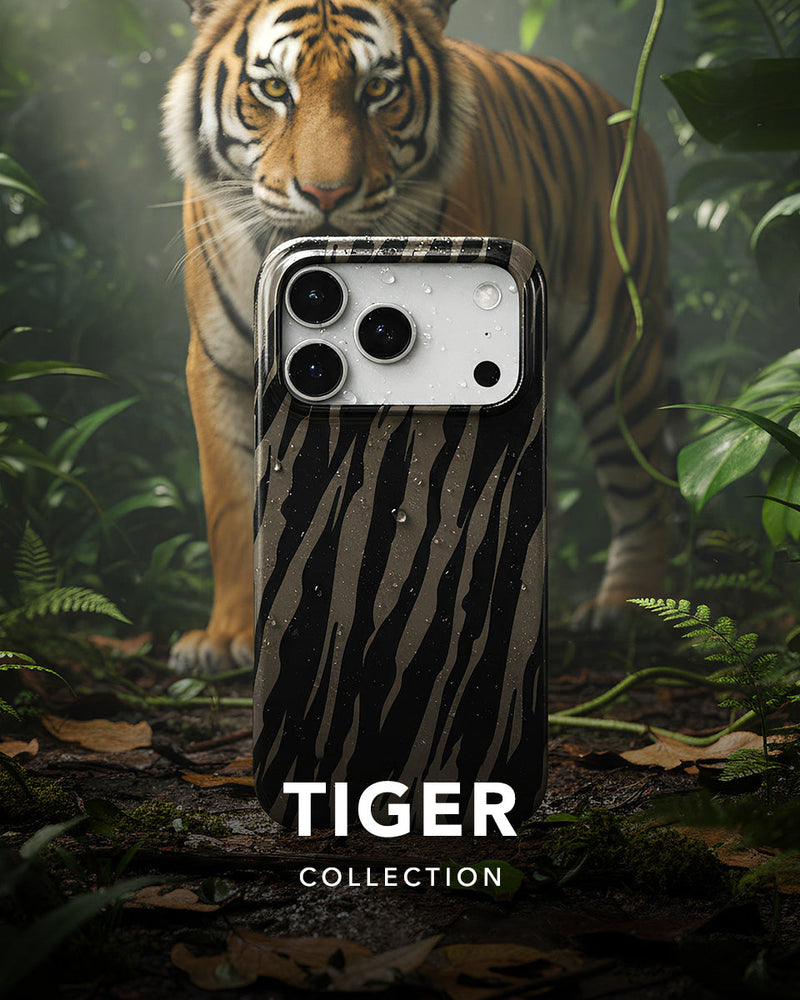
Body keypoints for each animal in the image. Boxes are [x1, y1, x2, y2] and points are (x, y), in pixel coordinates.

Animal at [163, 0, 673, 673]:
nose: (327, 194)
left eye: (378, 90)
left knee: (644, 485)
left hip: (617, 346)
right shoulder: (219, 363)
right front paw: (227, 637)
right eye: (274, 89)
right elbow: (230, 503)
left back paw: (621, 606)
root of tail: (617, 105)